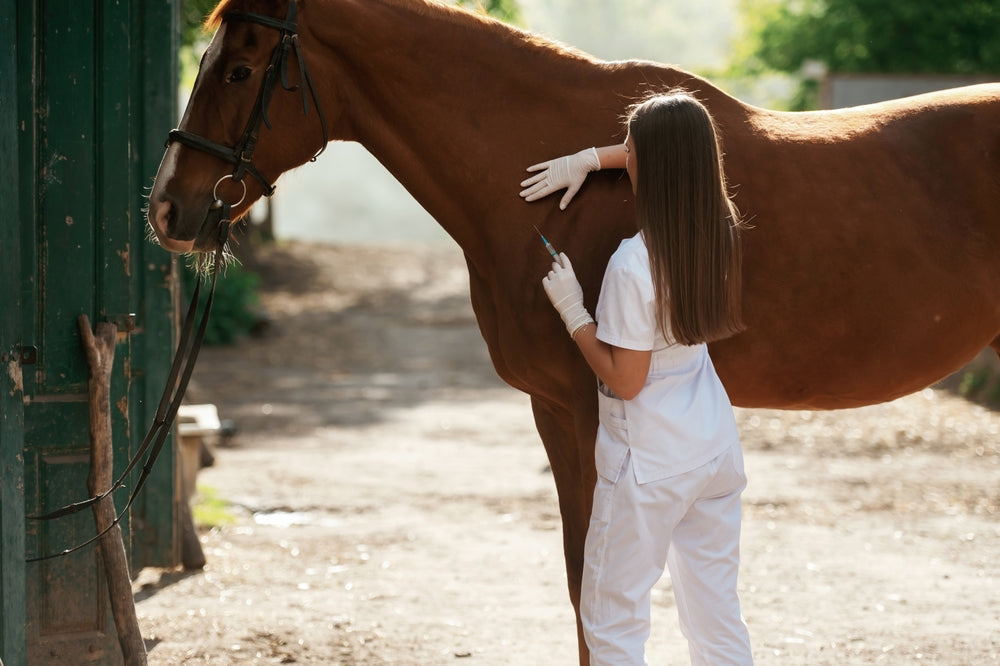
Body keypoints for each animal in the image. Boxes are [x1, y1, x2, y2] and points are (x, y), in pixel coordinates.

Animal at [146, 0, 1000, 660]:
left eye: (238, 71)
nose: (167, 209)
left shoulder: (595, 408)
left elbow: (600, 583)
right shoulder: (555, 409)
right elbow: (576, 577)